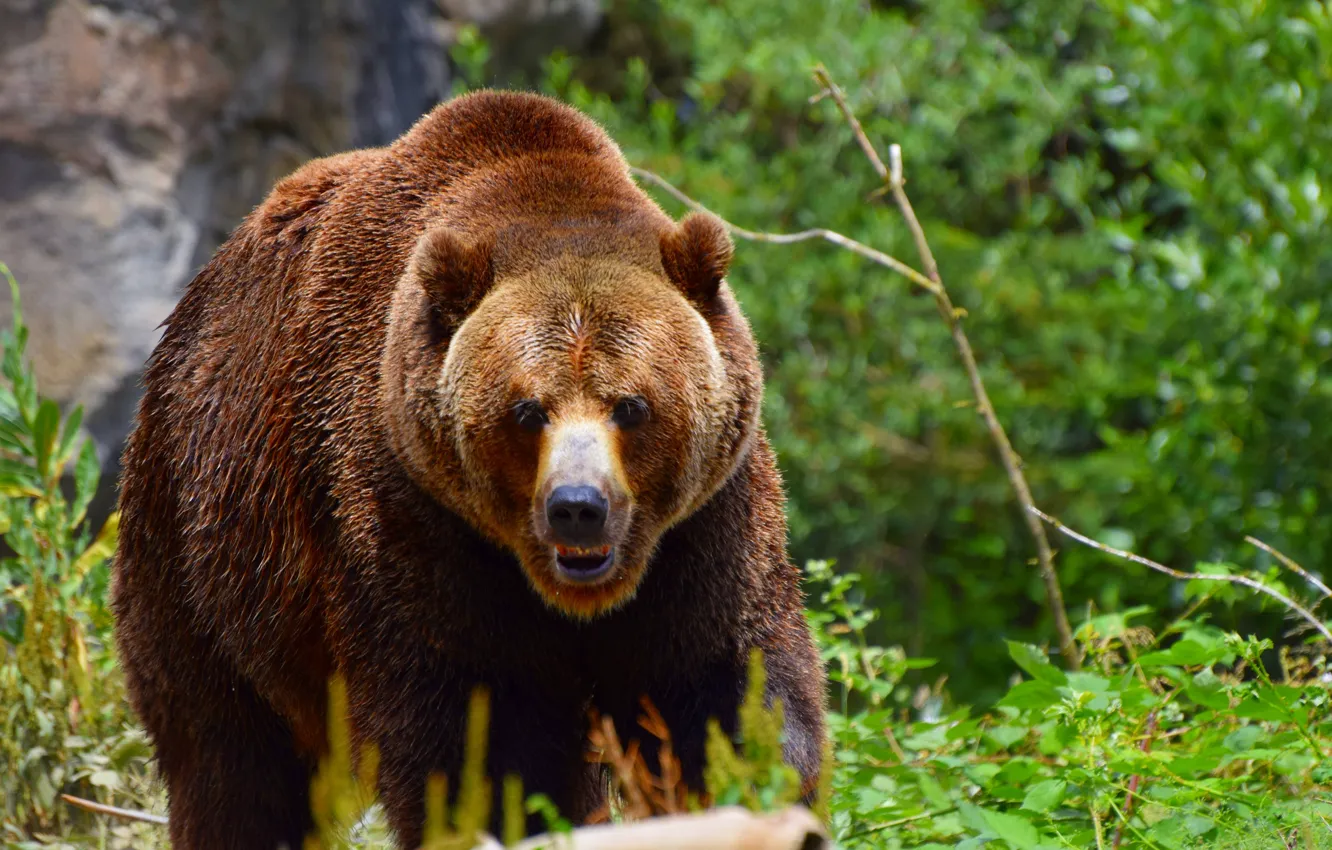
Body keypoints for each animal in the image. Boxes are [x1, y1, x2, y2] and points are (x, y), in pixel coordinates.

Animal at [111, 89, 826, 850]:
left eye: (631, 405)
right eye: (528, 410)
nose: (578, 506)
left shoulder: (703, 528)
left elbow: (723, 690)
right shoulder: (414, 516)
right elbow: (481, 733)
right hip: (208, 549)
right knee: (233, 760)